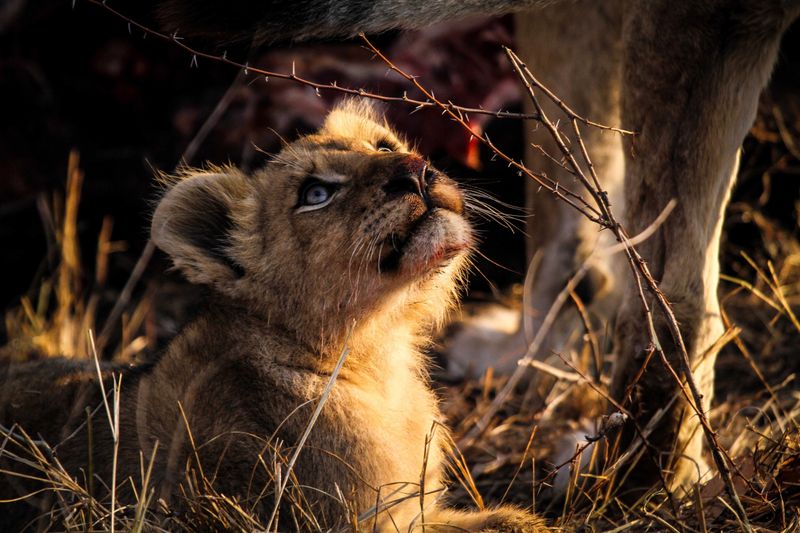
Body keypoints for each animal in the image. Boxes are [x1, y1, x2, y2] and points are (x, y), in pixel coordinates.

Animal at [0, 101, 545, 532]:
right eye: (315, 194)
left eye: (384, 144)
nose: (416, 168)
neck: (375, 356)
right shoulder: (355, 520)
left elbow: (511, 523)